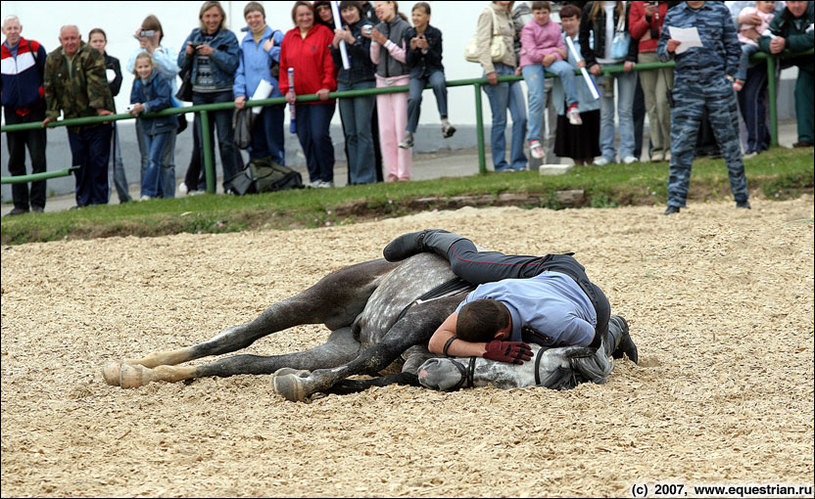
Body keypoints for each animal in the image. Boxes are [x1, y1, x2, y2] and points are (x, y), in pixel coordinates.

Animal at [103, 252, 632, 400]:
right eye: (556, 369)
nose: (438, 374)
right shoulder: (426, 318)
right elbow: (378, 358)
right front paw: (303, 386)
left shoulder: (412, 362)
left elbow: (379, 375)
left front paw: (316, 382)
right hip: (318, 297)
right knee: (244, 335)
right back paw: (142, 365)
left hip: (335, 343)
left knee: (244, 359)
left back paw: (149, 373)